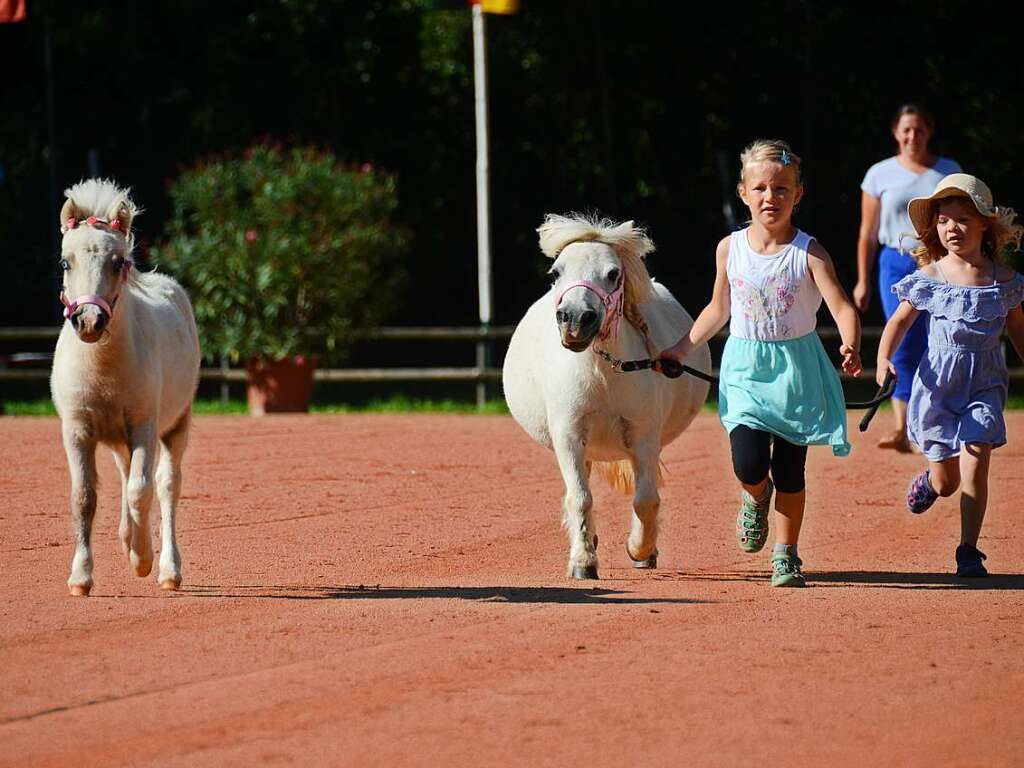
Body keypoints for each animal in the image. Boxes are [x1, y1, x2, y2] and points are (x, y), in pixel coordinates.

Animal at [49, 179, 200, 593]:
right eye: (66, 262)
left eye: (118, 262)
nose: (89, 321)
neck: (104, 368)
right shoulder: (77, 430)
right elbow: (84, 497)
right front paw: (81, 576)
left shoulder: (144, 426)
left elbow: (141, 490)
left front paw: (142, 558)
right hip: (117, 437)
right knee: (124, 474)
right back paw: (125, 536)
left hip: (175, 425)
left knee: (165, 486)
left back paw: (167, 569)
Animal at [503, 214, 712, 581]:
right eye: (555, 273)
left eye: (613, 274)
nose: (575, 319)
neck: (602, 372)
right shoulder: (569, 436)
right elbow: (580, 498)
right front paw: (583, 561)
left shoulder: (644, 438)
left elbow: (646, 499)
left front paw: (639, 550)